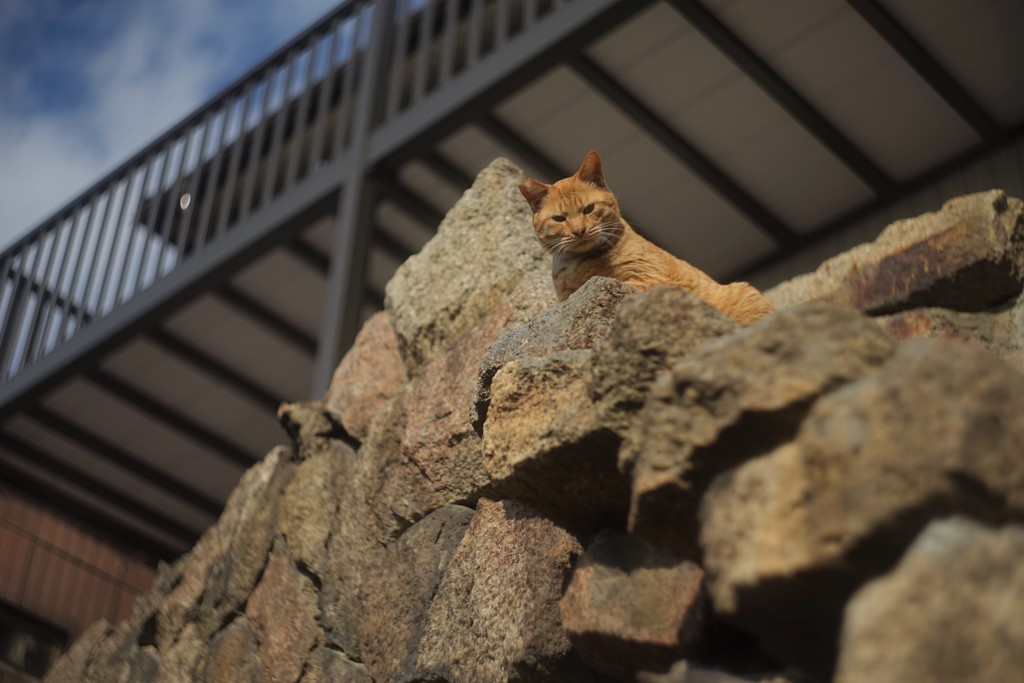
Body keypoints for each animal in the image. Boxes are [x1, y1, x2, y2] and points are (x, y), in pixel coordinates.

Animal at [516, 151, 770, 325]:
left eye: (588, 209)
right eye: (559, 218)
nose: (579, 230)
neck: (579, 263)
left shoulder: (649, 278)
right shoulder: (566, 296)